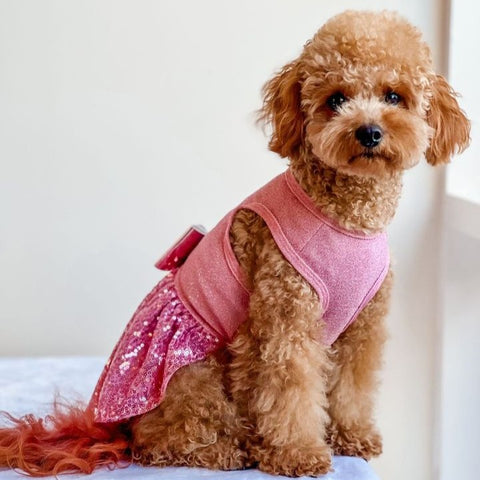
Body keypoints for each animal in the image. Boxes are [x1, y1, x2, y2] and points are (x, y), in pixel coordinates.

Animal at [0, 9, 468, 478]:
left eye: (394, 96)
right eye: (336, 99)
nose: (369, 132)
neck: (344, 215)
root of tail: (111, 426)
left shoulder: (362, 327)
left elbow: (352, 385)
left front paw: (352, 436)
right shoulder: (287, 319)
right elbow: (290, 391)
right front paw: (298, 453)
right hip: (194, 370)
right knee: (159, 440)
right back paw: (230, 450)